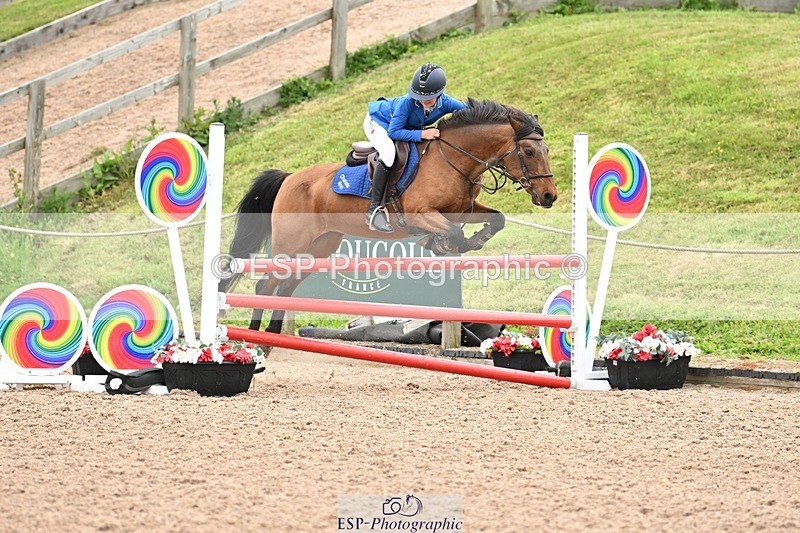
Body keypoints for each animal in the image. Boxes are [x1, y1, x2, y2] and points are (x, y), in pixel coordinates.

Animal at [219, 98, 557, 334]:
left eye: (547, 151)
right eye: (528, 152)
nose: (549, 196)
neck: (453, 159)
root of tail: (289, 178)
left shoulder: (463, 209)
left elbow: (496, 219)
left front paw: (473, 241)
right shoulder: (419, 214)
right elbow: (453, 232)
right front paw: (440, 244)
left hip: (319, 247)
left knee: (286, 288)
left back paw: (271, 338)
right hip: (291, 245)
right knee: (266, 286)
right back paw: (252, 338)